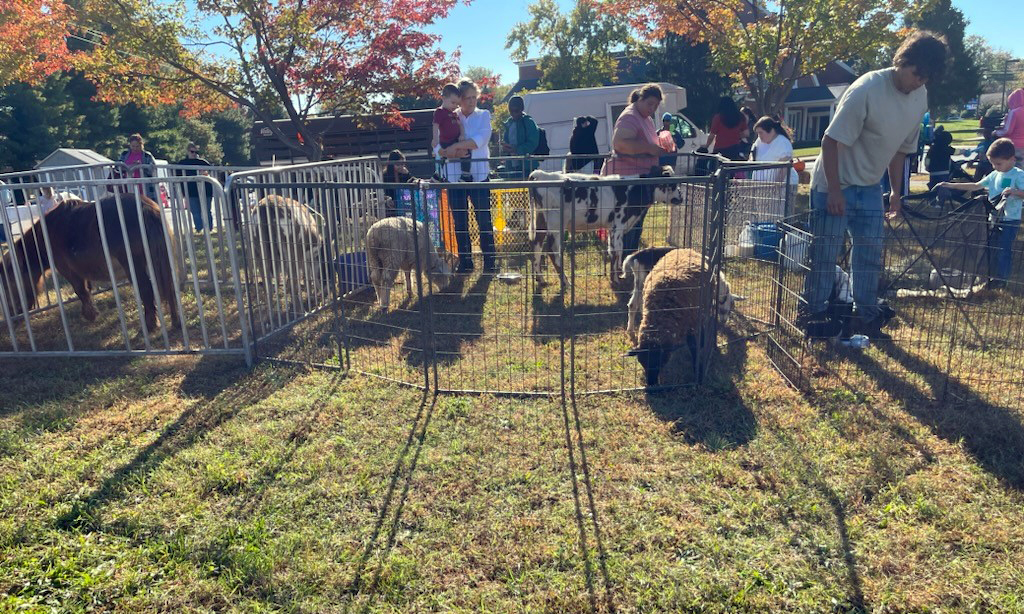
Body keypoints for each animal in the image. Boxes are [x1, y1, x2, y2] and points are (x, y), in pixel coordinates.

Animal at [1, 189, 181, 333]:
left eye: (9, 284)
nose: (13, 316)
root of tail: (145, 208)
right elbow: (87, 289)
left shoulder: (68, 270)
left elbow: (80, 290)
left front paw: (90, 315)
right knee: (169, 287)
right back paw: (175, 322)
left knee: (146, 289)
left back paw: (149, 326)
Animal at [528, 165, 688, 290]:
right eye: (673, 185)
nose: (681, 198)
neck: (634, 190)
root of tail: (542, 174)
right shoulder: (618, 225)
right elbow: (617, 251)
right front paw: (617, 279)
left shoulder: (613, 228)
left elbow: (614, 251)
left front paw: (617, 275)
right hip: (555, 222)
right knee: (552, 250)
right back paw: (566, 283)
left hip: (541, 220)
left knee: (536, 245)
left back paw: (540, 279)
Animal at [626, 246, 741, 386]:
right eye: (726, 308)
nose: (724, 322)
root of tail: (636, 256)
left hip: (640, 284)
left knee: (632, 305)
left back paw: (631, 331)